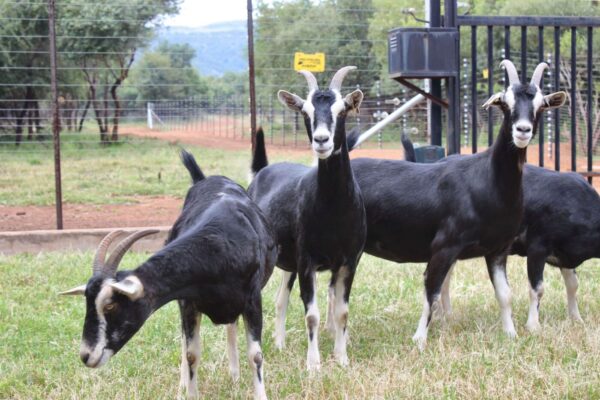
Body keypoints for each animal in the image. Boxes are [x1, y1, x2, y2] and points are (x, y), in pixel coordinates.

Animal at [60, 150, 276, 400]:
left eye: (110, 305)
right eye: (87, 303)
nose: (86, 355)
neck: (220, 244)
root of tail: (204, 178)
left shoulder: (252, 300)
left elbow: (256, 356)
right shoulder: (189, 302)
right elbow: (191, 354)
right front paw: (189, 392)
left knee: (231, 327)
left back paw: (234, 375)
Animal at [248, 66, 366, 372]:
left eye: (342, 109)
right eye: (305, 111)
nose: (322, 140)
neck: (333, 210)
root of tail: (263, 171)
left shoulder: (348, 261)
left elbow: (342, 312)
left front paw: (341, 358)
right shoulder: (307, 260)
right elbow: (311, 314)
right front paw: (314, 364)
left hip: (289, 264)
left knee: (280, 300)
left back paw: (279, 343)